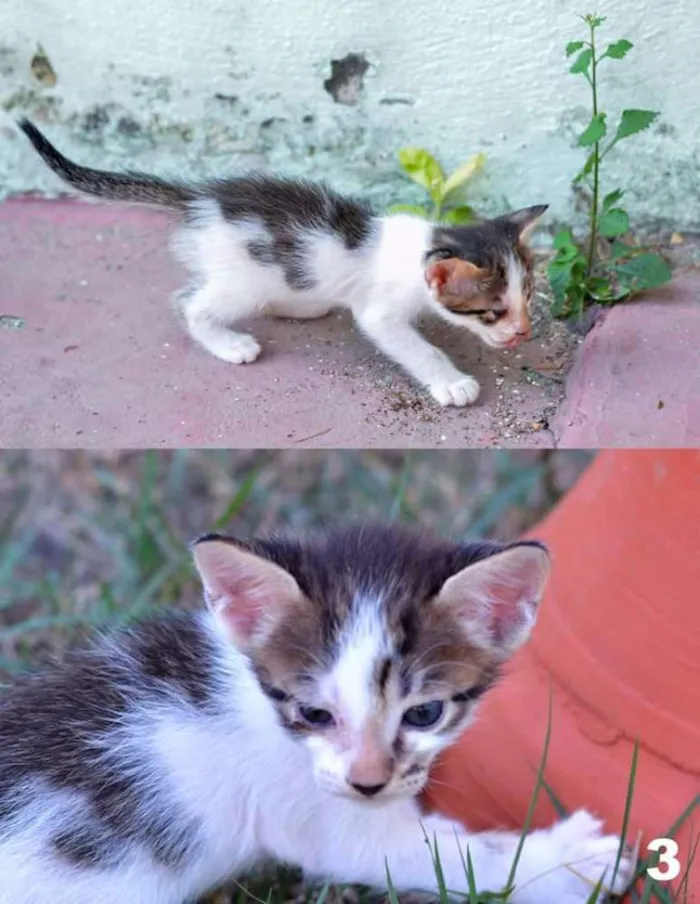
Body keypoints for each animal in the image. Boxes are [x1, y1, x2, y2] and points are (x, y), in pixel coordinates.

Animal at [0, 524, 636, 904]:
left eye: (425, 714)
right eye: (314, 712)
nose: (368, 782)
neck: (259, 708)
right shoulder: (320, 818)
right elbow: (455, 856)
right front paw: (573, 861)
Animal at [19, 119, 548, 406]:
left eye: (527, 296)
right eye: (492, 311)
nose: (523, 332)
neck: (423, 245)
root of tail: (199, 198)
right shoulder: (379, 312)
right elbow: (418, 348)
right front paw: (452, 383)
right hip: (240, 280)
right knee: (189, 302)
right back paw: (229, 343)